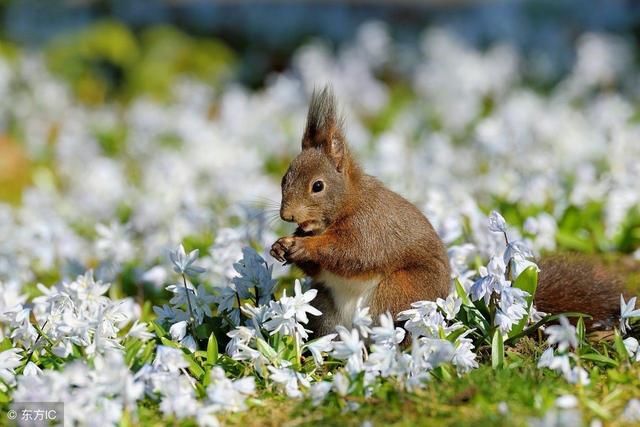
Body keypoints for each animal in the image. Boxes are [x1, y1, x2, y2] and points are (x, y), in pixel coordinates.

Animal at [270, 87, 624, 338]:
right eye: (284, 178)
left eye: (318, 186)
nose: (288, 216)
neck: (347, 204)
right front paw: (281, 245)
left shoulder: (371, 226)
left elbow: (353, 252)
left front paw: (304, 245)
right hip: (324, 305)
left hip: (399, 293)